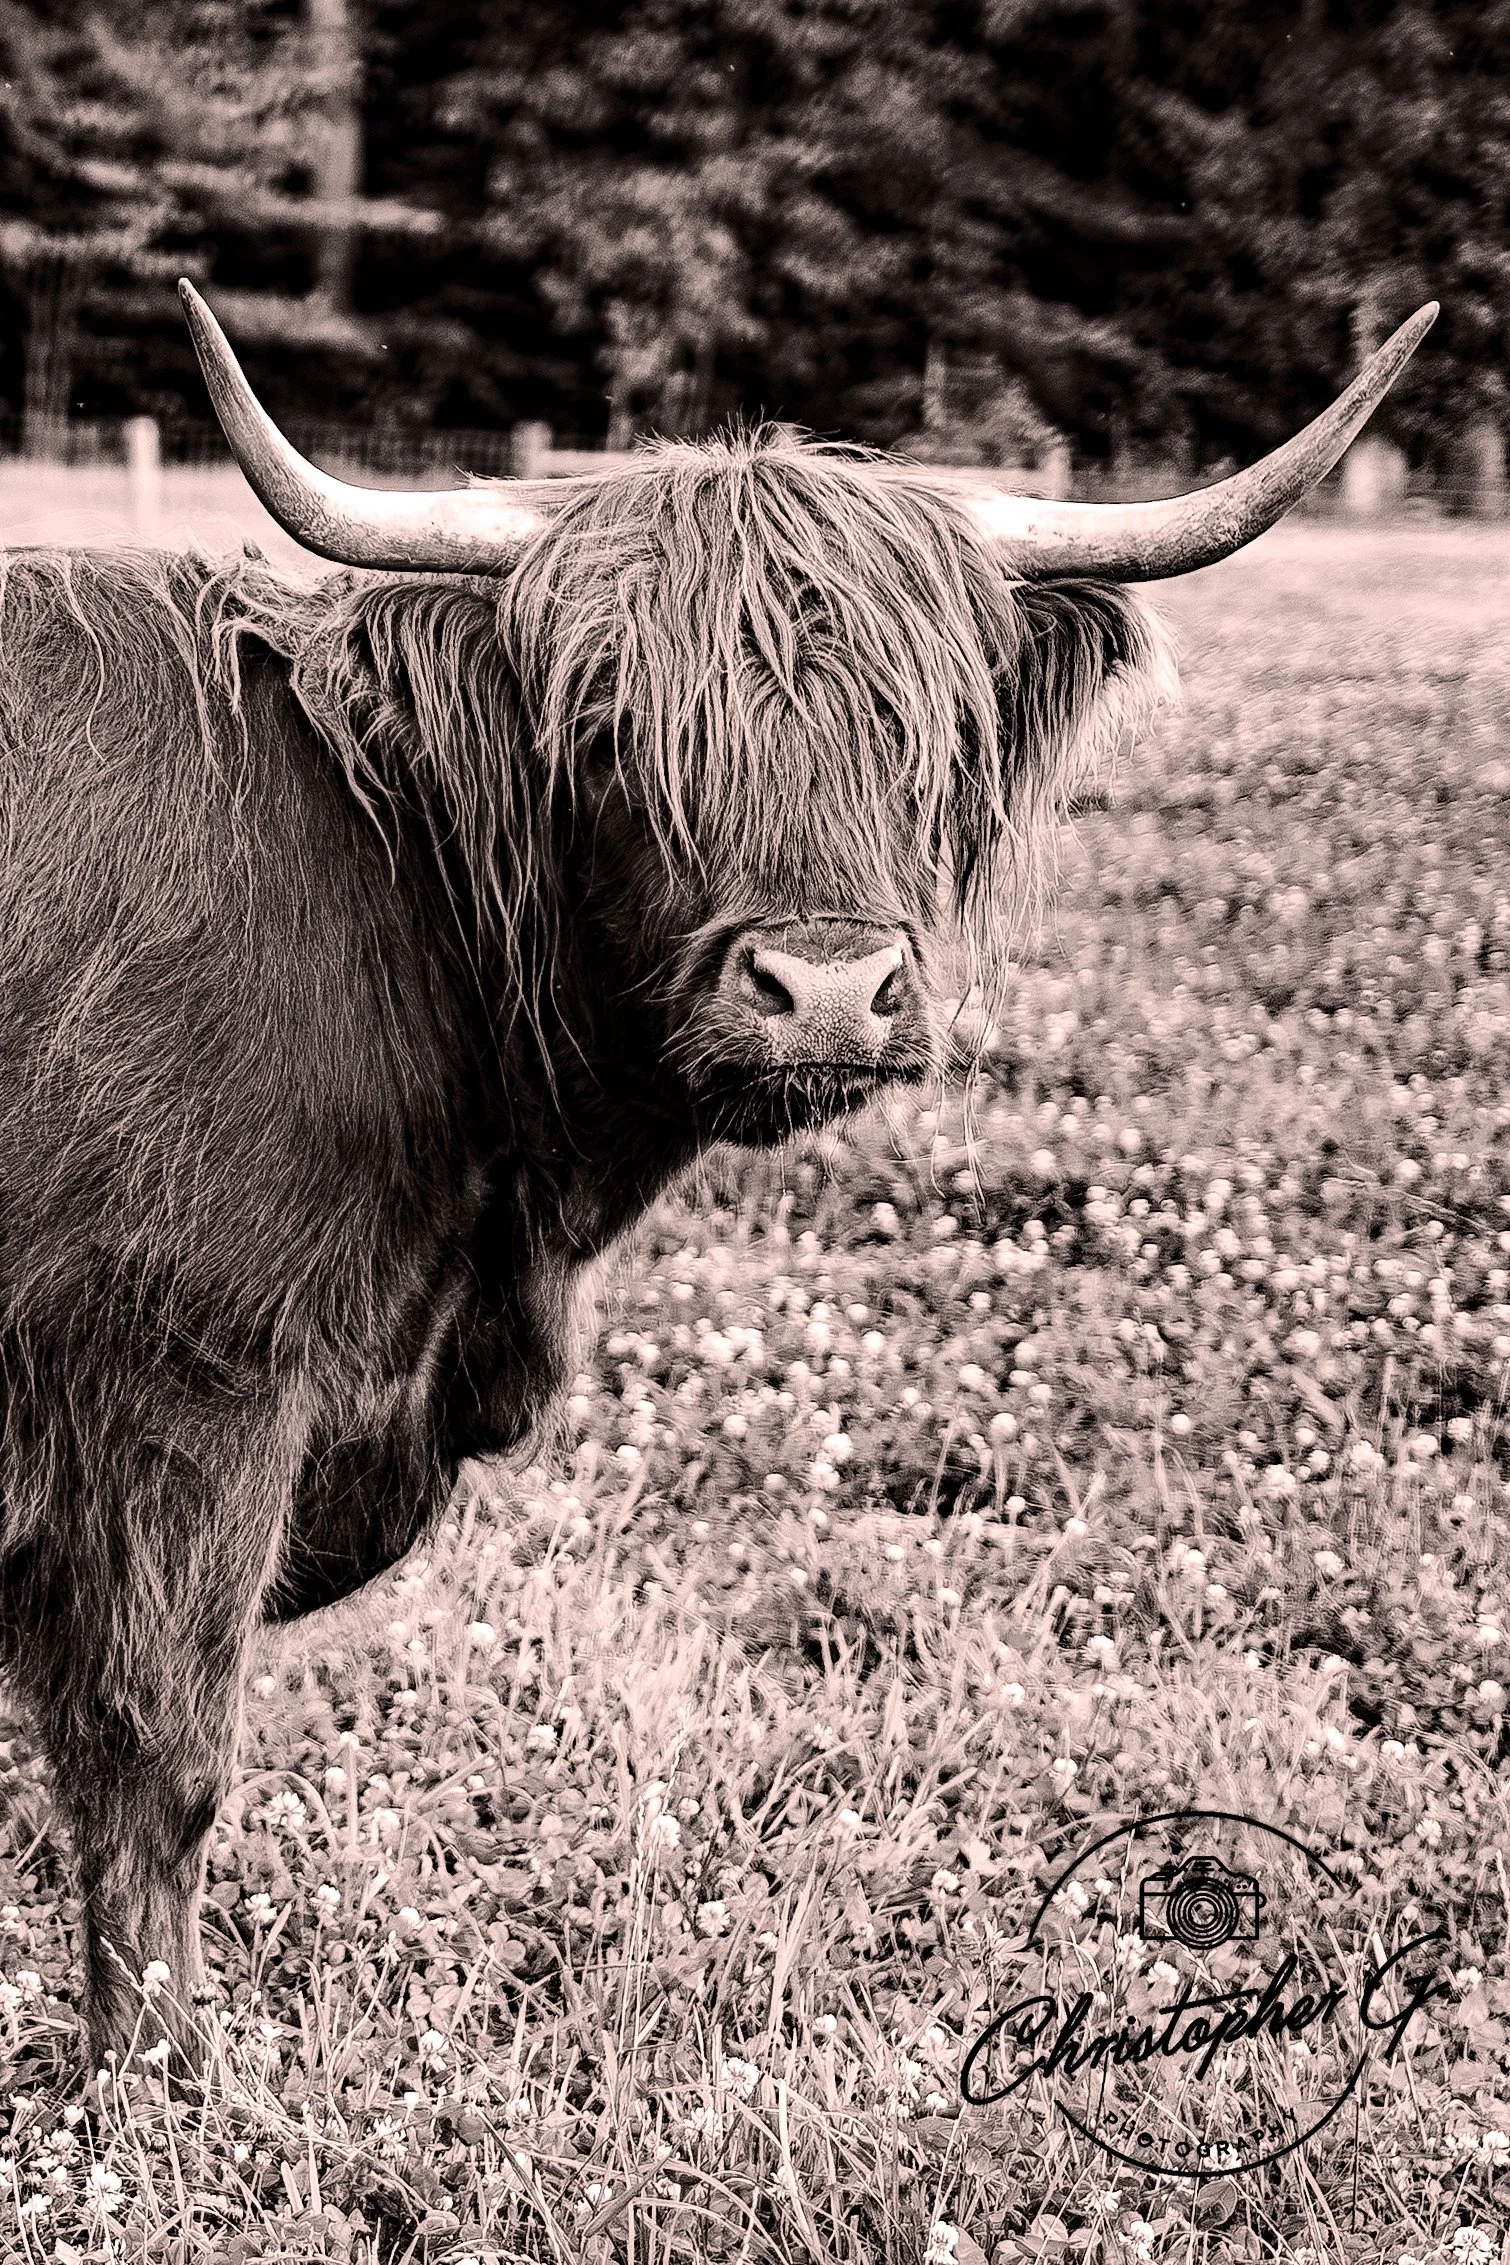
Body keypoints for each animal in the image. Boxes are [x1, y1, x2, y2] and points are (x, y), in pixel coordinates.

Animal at [0, 283, 1434, 2074]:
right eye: (616, 735)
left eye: (927, 736)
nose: (822, 990)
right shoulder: (184, 1383)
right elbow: (159, 1761)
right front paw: (161, 2079)